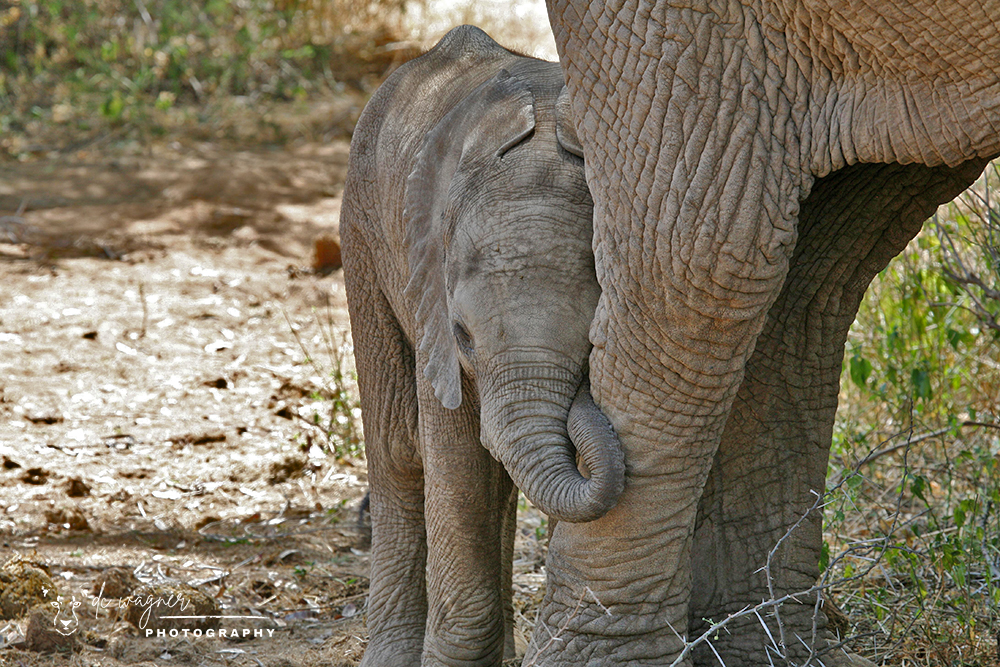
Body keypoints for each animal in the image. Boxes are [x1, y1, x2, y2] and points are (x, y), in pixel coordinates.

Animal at [340, 25, 626, 666]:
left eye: (591, 341)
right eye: (463, 337)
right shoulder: (430, 298)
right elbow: (456, 463)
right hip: (361, 226)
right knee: (399, 449)